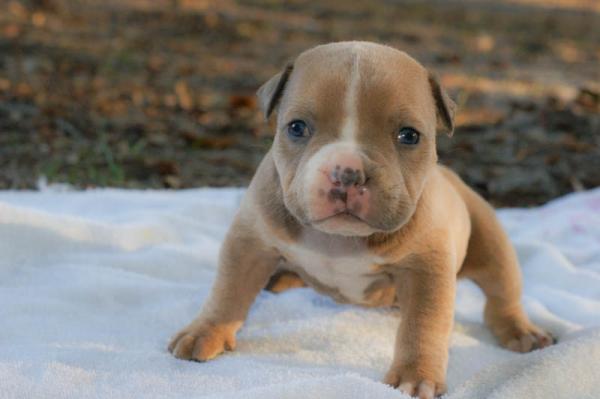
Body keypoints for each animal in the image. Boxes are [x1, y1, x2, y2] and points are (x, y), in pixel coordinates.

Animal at [168, 42, 552, 398]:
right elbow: (228, 290)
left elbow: (422, 324)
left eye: (409, 135)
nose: (347, 173)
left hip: (490, 240)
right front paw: (204, 331)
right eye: (296, 127)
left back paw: (522, 331)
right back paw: (282, 278)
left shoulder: (427, 269)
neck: (340, 239)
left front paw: (415, 375)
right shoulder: (250, 242)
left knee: (502, 293)